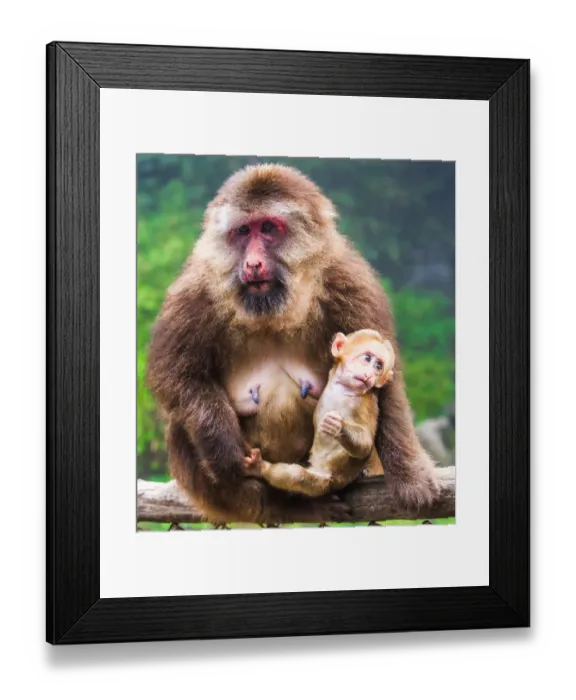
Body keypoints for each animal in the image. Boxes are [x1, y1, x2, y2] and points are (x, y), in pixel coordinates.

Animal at [243, 330, 395, 497]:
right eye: (368, 358)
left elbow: (365, 444)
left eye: (379, 366)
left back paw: (260, 467)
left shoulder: (365, 403)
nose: (370, 374)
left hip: (325, 481)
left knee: (299, 477)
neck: (345, 390)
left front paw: (338, 426)